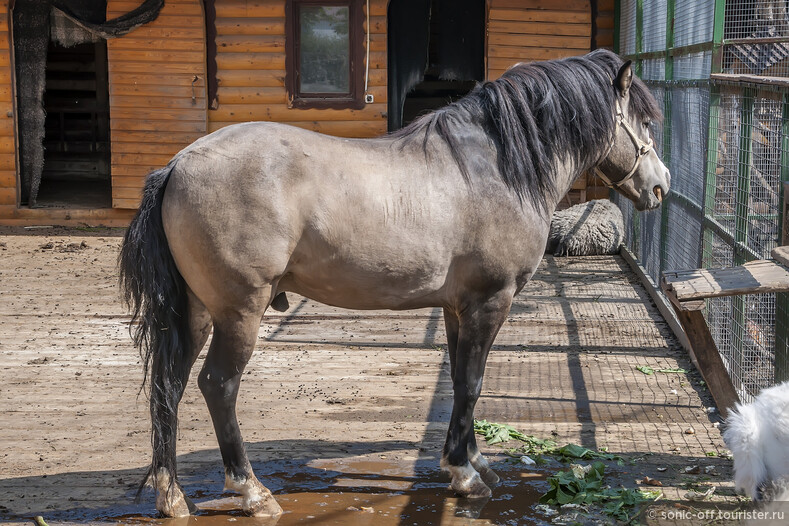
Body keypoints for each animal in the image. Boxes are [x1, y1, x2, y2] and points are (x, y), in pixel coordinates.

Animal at [120, 49, 668, 520]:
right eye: (642, 121)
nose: (660, 186)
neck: (493, 168)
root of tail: (179, 165)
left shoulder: (458, 308)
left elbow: (462, 380)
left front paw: (473, 461)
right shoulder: (491, 301)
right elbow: (473, 382)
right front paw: (466, 475)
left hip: (195, 312)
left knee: (170, 385)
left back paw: (172, 496)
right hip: (239, 312)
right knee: (218, 386)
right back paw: (252, 492)